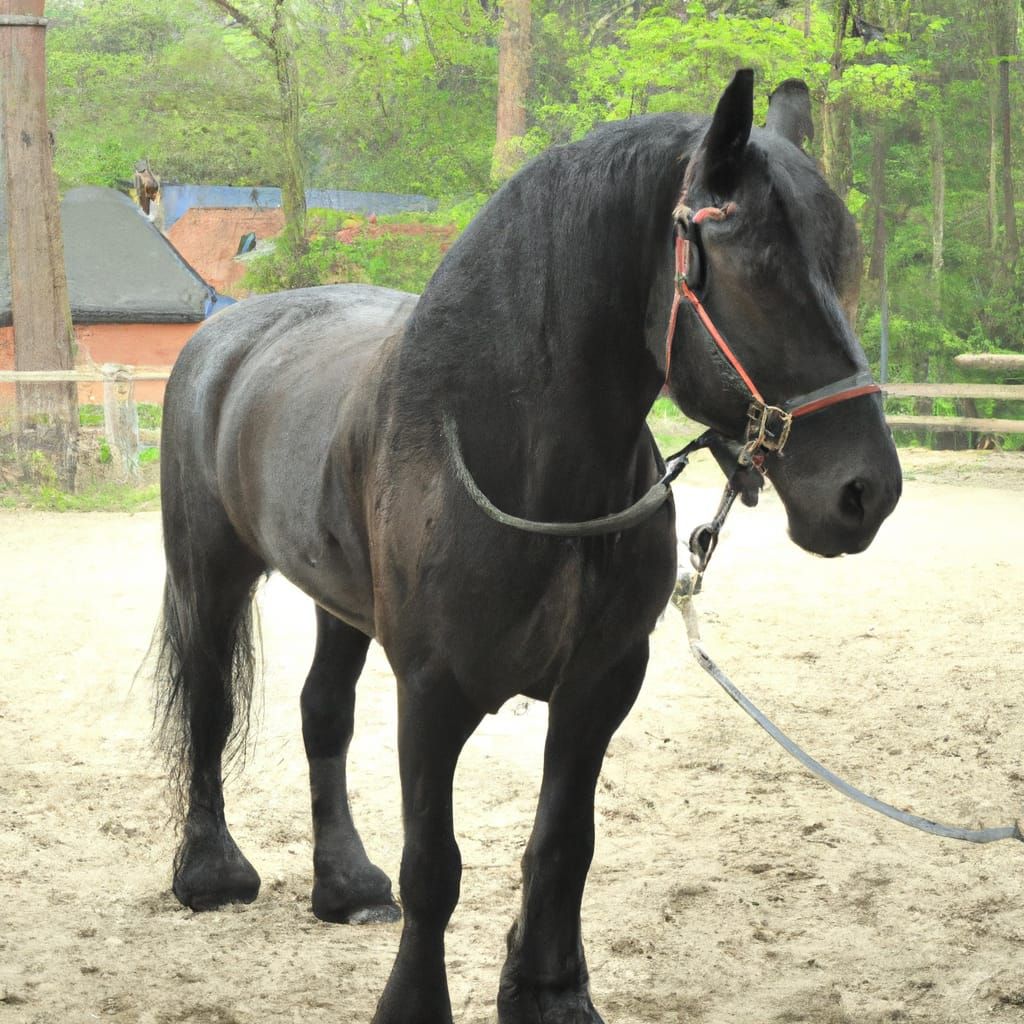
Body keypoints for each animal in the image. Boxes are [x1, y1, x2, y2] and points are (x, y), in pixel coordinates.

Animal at [153, 70, 901, 1023]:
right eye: (757, 270)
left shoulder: (599, 687)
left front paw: (548, 991)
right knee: (210, 710)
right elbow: (435, 869)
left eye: (841, 265)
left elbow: (563, 846)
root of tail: (223, 338)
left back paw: (347, 885)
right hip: (210, 576)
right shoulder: (432, 693)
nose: (866, 491)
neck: (519, 463)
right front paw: (415, 1003)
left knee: (323, 713)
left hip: (338, 602)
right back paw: (210, 873)